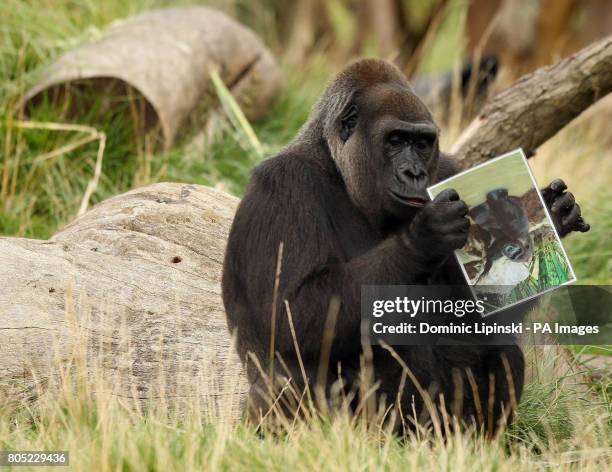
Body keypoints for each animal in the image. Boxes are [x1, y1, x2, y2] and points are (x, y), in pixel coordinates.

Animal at [222, 59, 592, 436]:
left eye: (423, 143)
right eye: (396, 140)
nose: (414, 173)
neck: (338, 169)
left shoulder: (446, 168)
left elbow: (478, 317)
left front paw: (555, 214)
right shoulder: (282, 187)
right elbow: (291, 314)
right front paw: (423, 238)